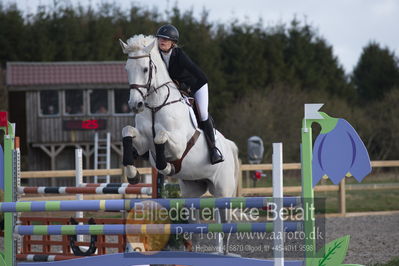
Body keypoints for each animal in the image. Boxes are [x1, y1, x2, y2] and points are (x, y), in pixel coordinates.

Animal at [117, 34, 239, 198]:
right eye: (127, 69)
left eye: (145, 69)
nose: (135, 104)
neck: (155, 106)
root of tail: (229, 145)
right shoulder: (143, 143)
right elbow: (127, 131)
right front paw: (133, 175)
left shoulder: (179, 145)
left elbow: (160, 137)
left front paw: (168, 168)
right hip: (192, 187)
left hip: (223, 189)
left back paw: (216, 156)